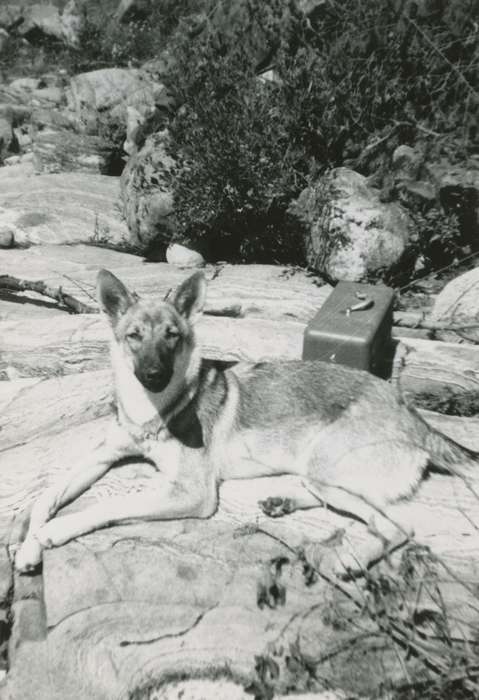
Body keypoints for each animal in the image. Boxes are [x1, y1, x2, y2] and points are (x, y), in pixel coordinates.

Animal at [15, 270, 479, 576]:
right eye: (134, 336)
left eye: (172, 336)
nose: (153, 375)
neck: (154, 409)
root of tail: (411, 412)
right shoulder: (102, 455)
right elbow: (46, 495)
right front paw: (28, 541)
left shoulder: (193, 493)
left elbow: (108, 506)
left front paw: (53, 533)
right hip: (318, 471)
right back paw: (282, 502)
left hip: (327, 467)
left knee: (397, 526)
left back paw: (347, 559)